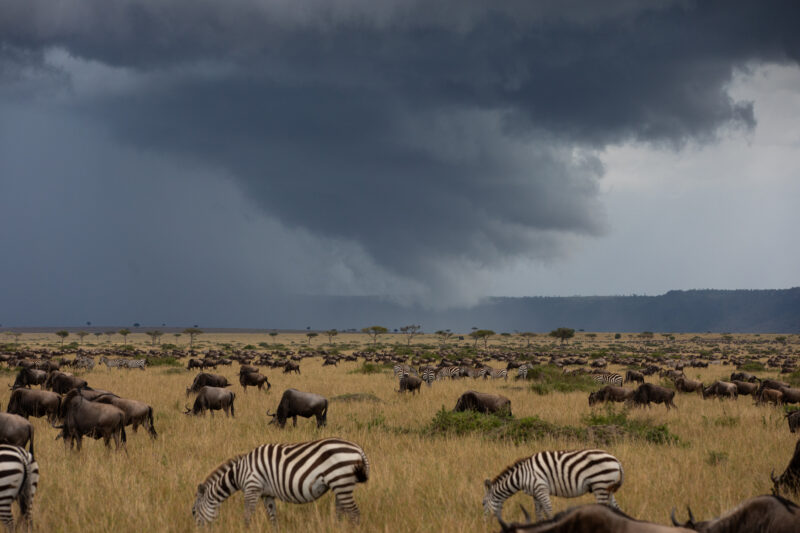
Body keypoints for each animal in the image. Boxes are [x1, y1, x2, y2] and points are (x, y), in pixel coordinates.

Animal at [192, 437, 370, 527]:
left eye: (193, 512)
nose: (196, 530)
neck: (239, 473)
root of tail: (358, 449)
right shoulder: (266, 494)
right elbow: (273, 517)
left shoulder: (252, 488)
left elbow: (247, 516)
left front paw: (245, 529)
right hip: (339, 485)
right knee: (341, 512)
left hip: (341, 482)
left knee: (355, 513)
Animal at [482, 449, 623, 521]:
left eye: (483, 504)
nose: (485, 525)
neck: (521, 476)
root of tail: (616, 460)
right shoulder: (535, 493)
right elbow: (539, 513)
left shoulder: (541, 488)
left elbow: (548, 511)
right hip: (607, 487)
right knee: (616, 508)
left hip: (600, 485)